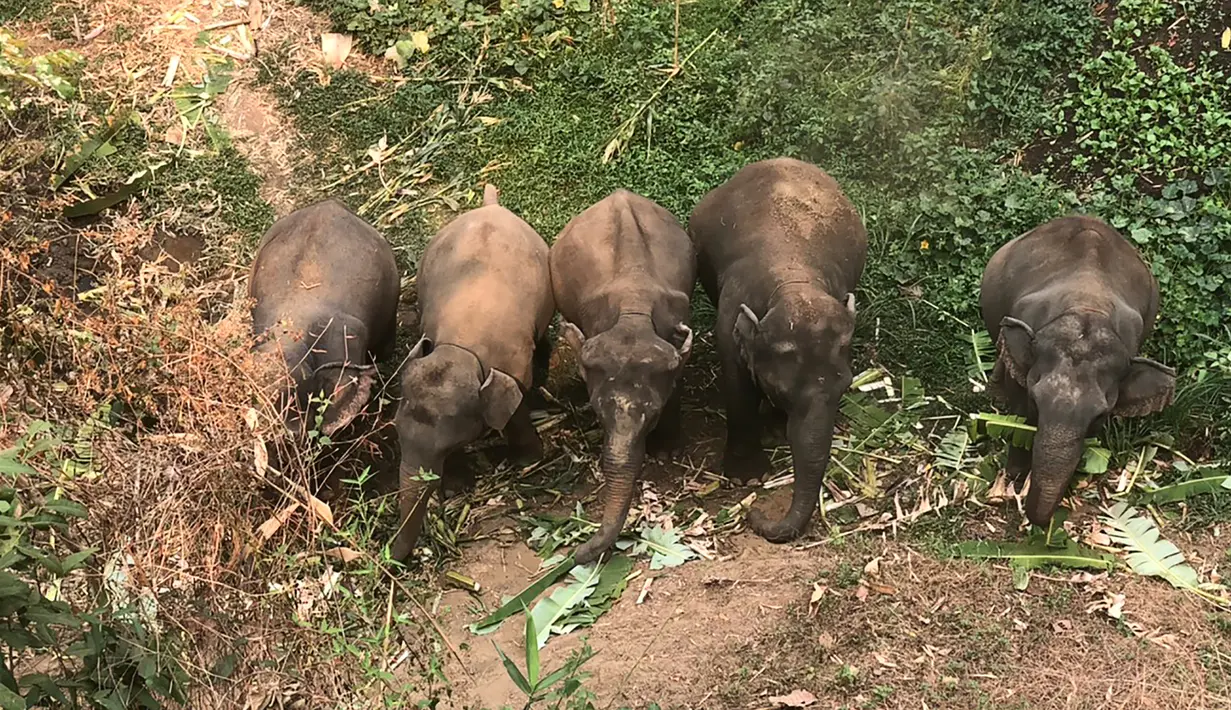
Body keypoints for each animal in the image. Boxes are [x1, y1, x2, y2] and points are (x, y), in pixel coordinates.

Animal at [391, 184, 556, 558]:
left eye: (444, 447)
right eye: (397, 433)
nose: (391, 558)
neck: (460, 350)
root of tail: (491, 206)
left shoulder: (512, 364)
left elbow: (516, 408)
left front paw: (527, 461)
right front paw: (457, 486)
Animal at [689, 157, 871, 538]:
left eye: (845, 387)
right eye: (780, 390)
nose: (753, 513)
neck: (794, 282)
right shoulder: (730, 317)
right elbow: (737, 384)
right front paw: (747, 478)